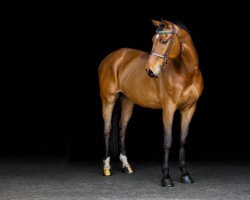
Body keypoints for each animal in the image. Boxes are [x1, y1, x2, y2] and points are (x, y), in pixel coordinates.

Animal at [97, 19, 203, 187]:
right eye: (153, 40)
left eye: (164, 40)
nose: (150, 70)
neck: (186, 74)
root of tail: (111, 58)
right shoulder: (168, 109)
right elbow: (167, 141)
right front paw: (166, 178)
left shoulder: (189, 109)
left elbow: (183, 141)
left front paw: (185, 175)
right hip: (108, 99)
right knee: (107, 129)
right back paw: (107, 167)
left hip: (127, 101)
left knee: (122, 129)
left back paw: (126, 166)